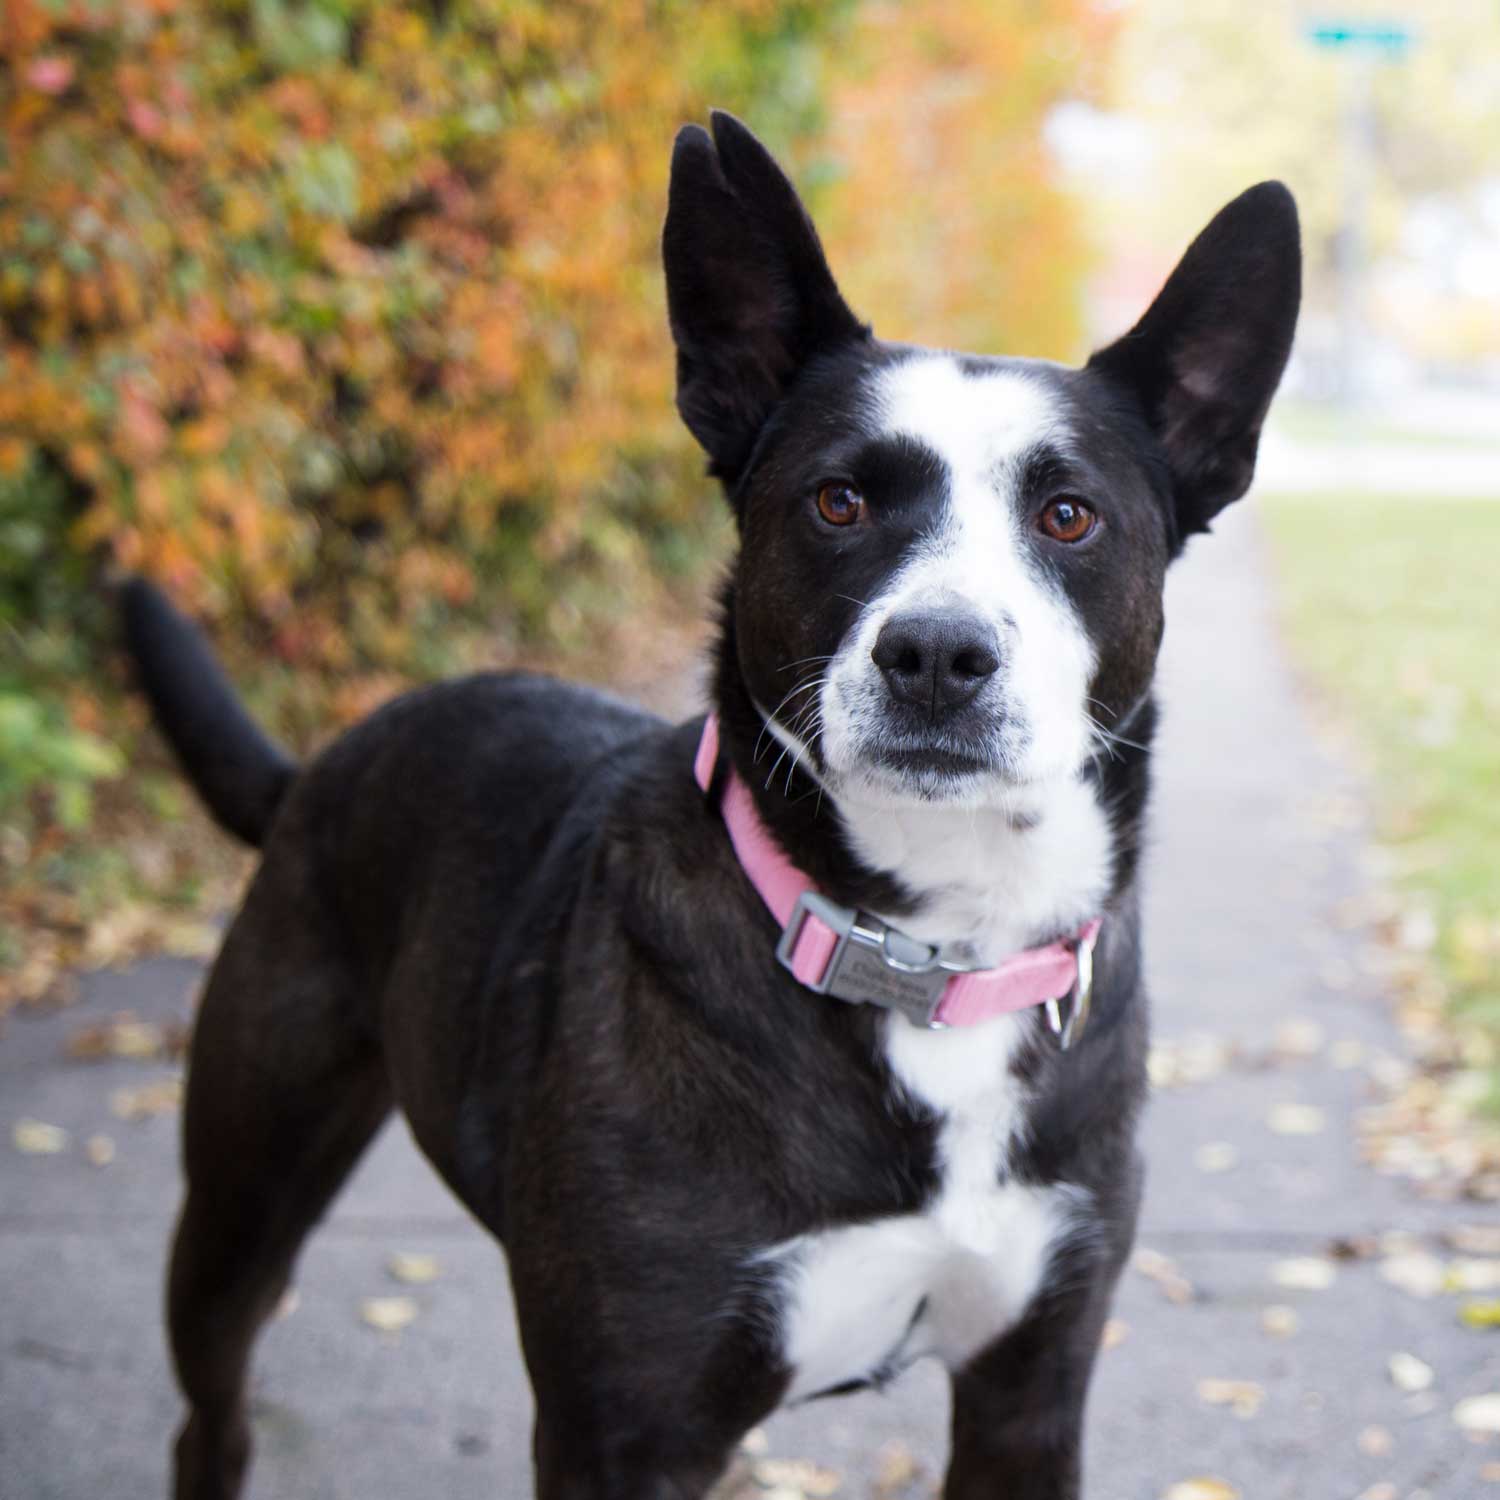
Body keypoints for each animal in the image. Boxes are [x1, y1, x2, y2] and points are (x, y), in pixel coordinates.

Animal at [126, 111, 1302, 1494]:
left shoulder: (1031, 1396)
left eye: (1069, 516)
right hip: (240, 1200)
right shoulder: (624, 1430)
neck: (927, 953)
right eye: (839, 501)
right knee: (213, 1407)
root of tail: (319, 767)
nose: (937, 656)